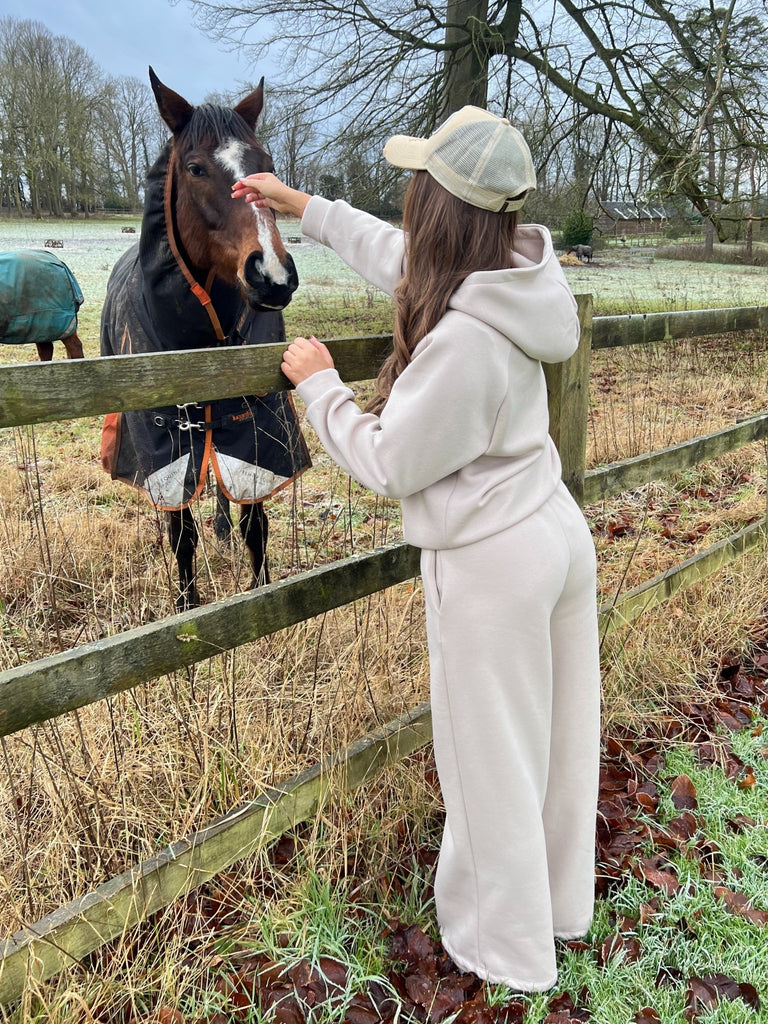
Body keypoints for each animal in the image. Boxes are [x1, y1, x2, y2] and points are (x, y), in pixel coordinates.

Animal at [100, 74, 311, 614]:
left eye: (266, 164)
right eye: (195, 169)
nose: (272, 277)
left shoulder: (255, 433)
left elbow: (254, 523)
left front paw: (263, 596)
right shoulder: (167, 453)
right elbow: (180, 534)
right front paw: (187, 607)